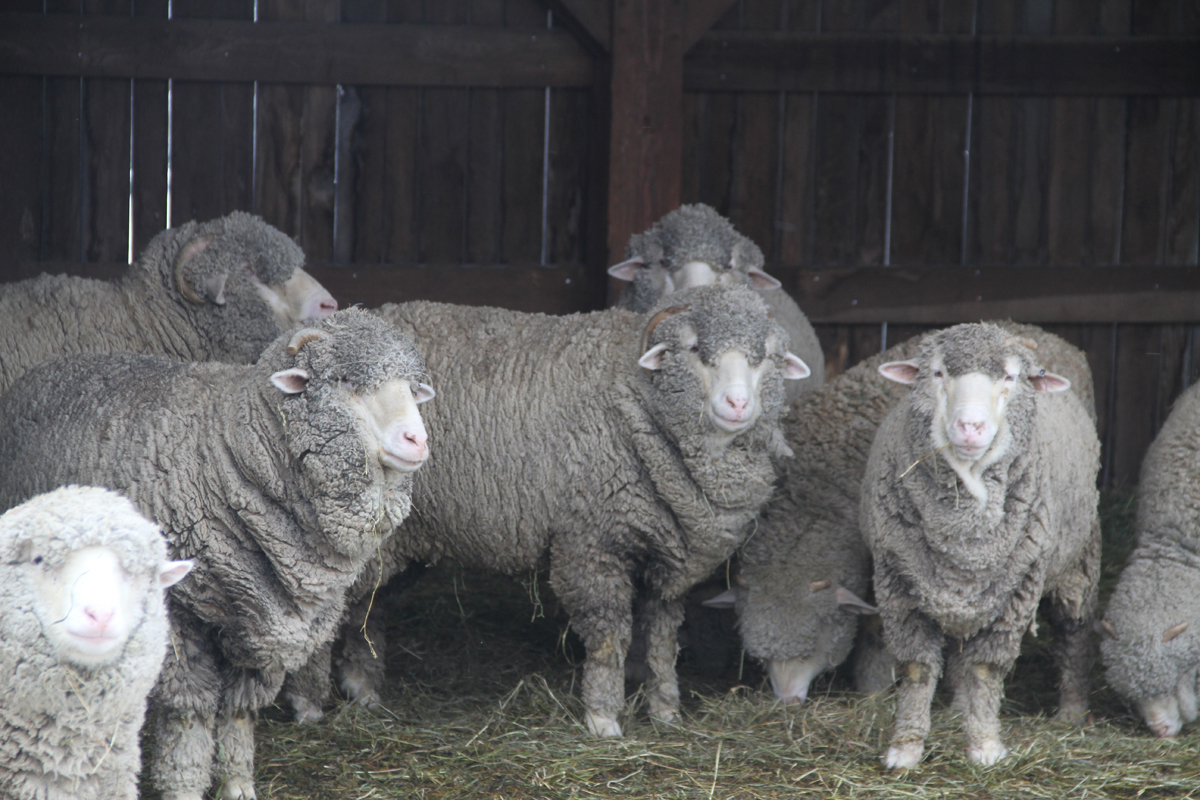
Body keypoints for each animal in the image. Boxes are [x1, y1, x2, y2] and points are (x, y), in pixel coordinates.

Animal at [295, 285, 809, 737]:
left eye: (765, 357)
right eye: (696, 349)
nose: (738, 404)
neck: (637, 400)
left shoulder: (667, 561)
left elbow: (663, 642)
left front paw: (666, 711)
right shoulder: (591, 543)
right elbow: (609, 637)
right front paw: (604, 719)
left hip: (402, 539)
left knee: (369, 607)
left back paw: (363, 690)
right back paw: (308, 704)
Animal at [722, 322, 1097, 707]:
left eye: (814, 645)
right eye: (760, 658)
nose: (787, 703)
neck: (814, 491)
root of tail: (1038, 330)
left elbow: (878, 634)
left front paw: (873, 689)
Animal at [859, 322, 1100, 770]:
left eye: (1010, 377)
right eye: (937, 373)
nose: (970, 426)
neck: (965, 536)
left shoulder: (1017, 591)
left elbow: (985, 670)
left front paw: (985, 746)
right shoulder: (897, 584)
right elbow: (917, 668)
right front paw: (905, 748)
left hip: (1079, 559)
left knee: (1073, 629)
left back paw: (1072, 711)